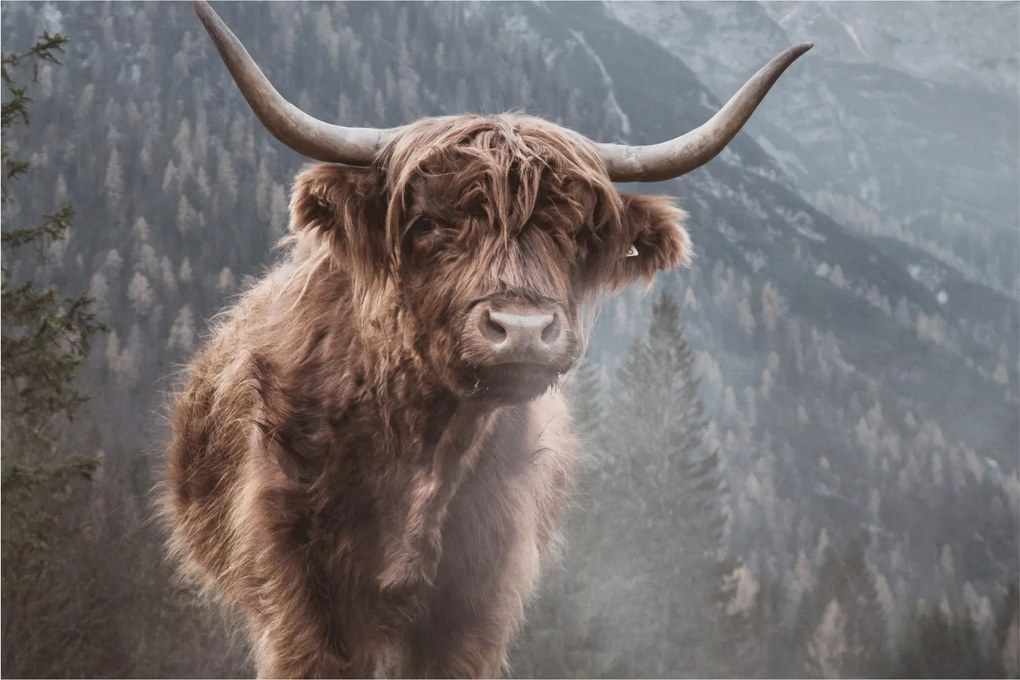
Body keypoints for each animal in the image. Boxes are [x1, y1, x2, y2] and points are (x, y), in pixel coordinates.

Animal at [160, 2, 810, 677]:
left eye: (575, 232)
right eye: (428, 223)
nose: (522, 330)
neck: (423, 444)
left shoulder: (476, 603)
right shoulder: (301, 603)